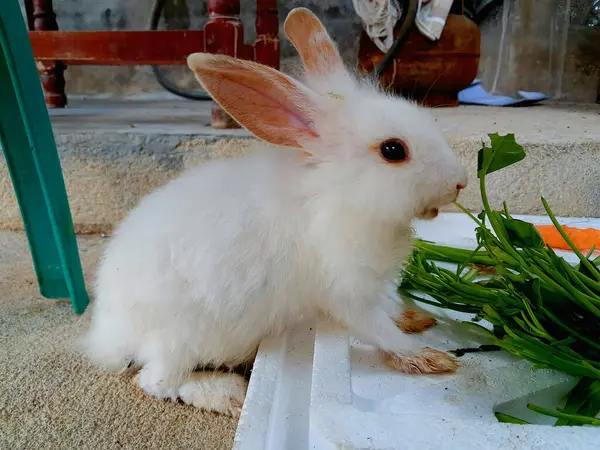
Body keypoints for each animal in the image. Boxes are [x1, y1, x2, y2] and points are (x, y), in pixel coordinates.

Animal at [83, 7, 468, 416]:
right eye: (393, 150)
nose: (461, 182)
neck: (337, 192)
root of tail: (108, 336)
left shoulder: (376, 285)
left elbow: (389, 308)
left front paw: (416, 318)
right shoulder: (346, 291)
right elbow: (378, 329)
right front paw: (427, 357)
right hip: (184, 340)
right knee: (157, 382)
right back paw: (229, 394)